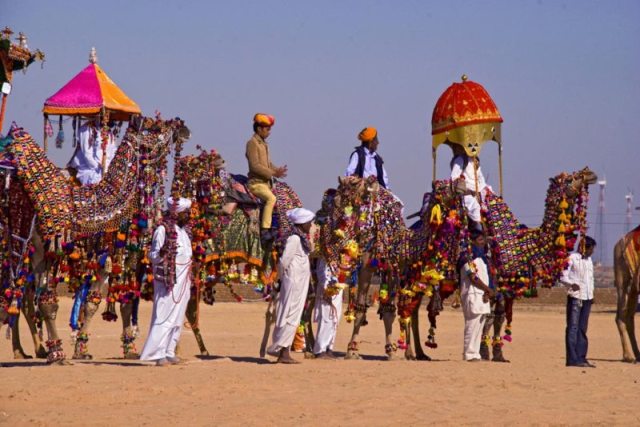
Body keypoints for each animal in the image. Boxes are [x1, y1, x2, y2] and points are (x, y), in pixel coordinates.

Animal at [0, 118, 190, 364]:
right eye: (155, 126)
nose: (184, 128)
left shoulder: (124, 258)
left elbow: (123, 301)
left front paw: (127, 348)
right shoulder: (77, 255)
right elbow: (72, 302)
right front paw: (63, 352)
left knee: (19, 296)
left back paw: (26, 350)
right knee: (23, 297)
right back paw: (33, 349)